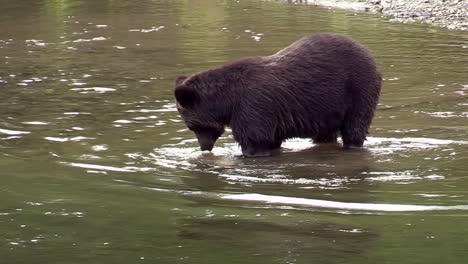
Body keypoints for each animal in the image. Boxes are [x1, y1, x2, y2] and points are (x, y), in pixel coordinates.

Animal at [174, 33, 382, 157]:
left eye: (193, 127)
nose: (204, 148)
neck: (227, 101)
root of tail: (368, 52)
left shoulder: (253, 107)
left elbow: (254, 140)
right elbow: (271, 140)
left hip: (358, 90)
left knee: (355, 127)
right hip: (328, 106)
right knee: (326, 133)